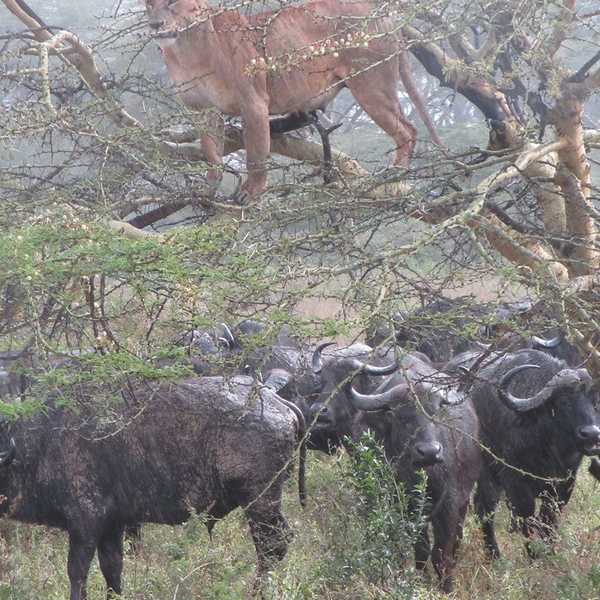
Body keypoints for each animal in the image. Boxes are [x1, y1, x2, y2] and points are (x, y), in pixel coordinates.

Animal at [0, 372, 304, 596]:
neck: (40, 441)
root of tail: (274, 399)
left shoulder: (84, 523)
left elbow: (77, 573)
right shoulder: (113, 526)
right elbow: (113, 570)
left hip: (259, 500)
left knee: (272, 545)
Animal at [142, 0, 438, 202]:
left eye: (172, 2)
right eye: (149, 4)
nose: (155, 25)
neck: (187, 49)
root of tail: (382, 15)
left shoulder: (253, 102)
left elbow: (256, 156)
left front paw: (251, 193)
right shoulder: (201, 110)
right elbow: (210, 153)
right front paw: (209, 189)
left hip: (370, 85)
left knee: (407, 130)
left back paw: (395, 172)